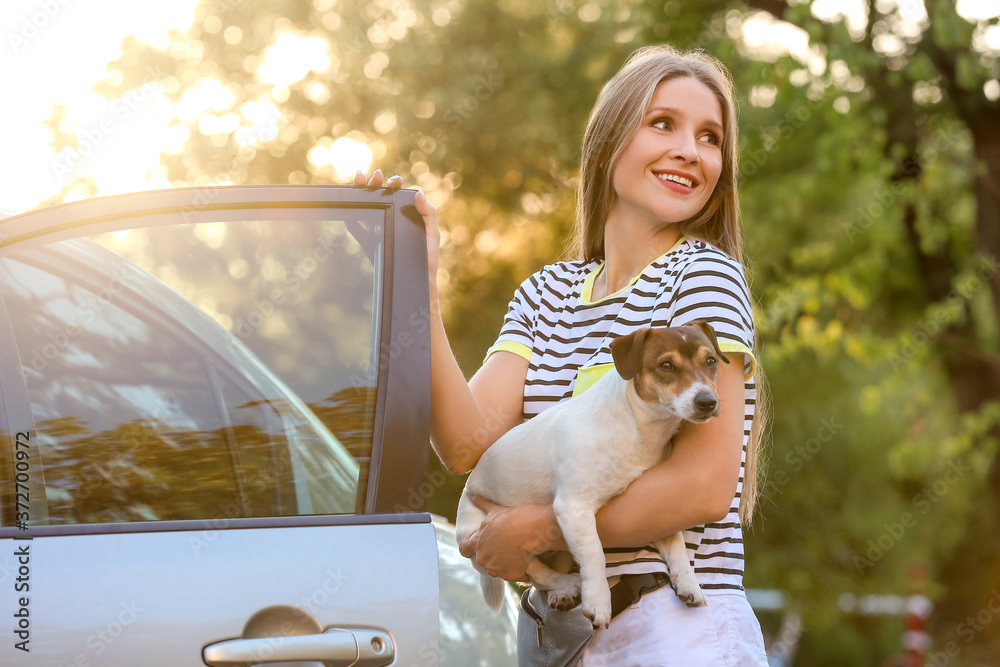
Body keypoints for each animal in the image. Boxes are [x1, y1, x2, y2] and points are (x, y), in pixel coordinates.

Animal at [458, 320, 732, 628]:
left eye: (710, 361)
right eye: (666, 365)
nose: (707, 402)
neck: (637, 426)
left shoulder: (657, 509)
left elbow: (677, 546)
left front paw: (688, 583)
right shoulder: (574, 507)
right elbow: (595, 554)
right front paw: (599, 601)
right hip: (490, 540)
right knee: (536, 572)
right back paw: (567, 584)